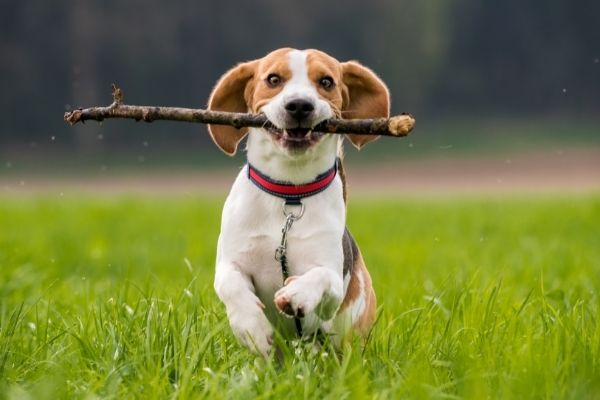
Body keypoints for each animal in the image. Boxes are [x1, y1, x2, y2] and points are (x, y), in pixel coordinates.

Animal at [209, 47, 392, 356]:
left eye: (326, 82)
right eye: (273, 79)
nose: (299, 105)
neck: (289, 196)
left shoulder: (332, 284)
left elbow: (322, 277)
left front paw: (296, 293)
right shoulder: (230, 262)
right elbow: (231, 283)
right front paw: (252, 328)